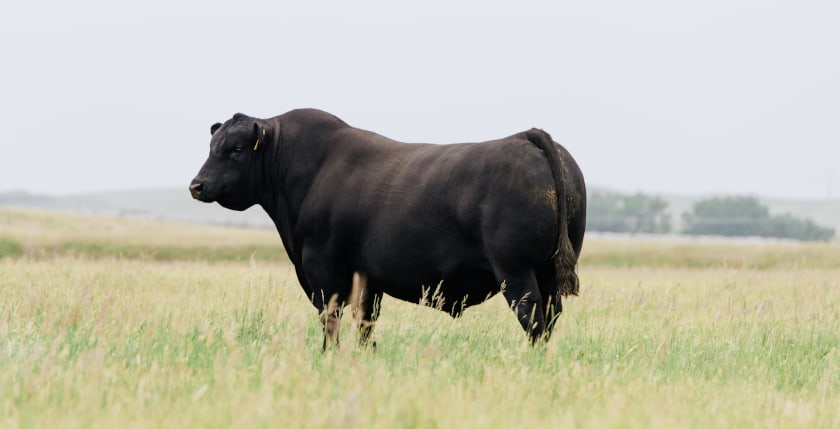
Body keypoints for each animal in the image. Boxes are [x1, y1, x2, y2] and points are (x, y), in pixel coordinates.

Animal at [189, 108, 584, 346]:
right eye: (212, 146)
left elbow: (331, 321)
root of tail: (525, 136)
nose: (197, 185)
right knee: (550, 319)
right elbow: (366, 326)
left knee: (534, 320)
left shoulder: (322, 272)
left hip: (516, 272)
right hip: (548, 275)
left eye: (237, 149)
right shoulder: (368, 280)